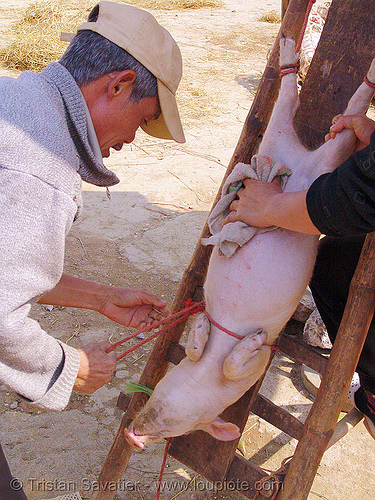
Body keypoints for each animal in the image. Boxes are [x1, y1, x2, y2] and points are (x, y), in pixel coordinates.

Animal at [125, 37, 375, 448]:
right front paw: (201, 328)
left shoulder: (250, 373)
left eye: (171, 430)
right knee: (288, 100)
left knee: (347, 125)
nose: (134, 433)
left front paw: (253, 340)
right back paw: (289, 53)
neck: (206, 373)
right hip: (275, 138)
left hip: (325, 168)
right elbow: (194, 343)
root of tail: (299, 161)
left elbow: (241, 363)